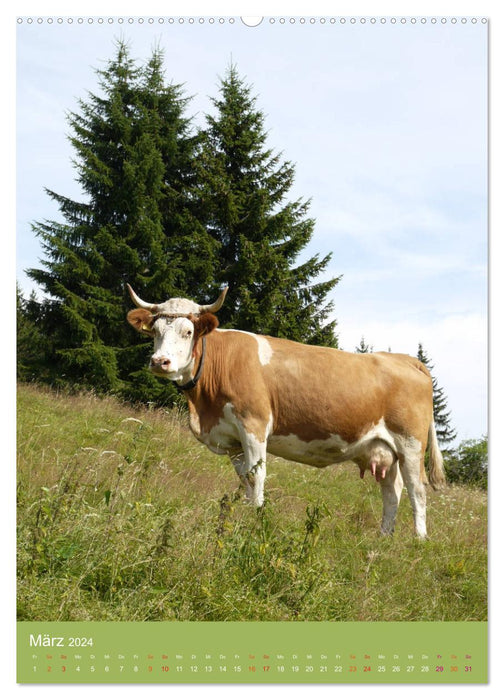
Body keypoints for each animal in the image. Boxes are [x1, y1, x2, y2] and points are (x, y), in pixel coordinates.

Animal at [126, 284, 444, 536]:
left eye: (188, 331)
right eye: (154, 332)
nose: (160, 361)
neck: (203, 409)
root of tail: (404, 358)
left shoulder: (254, 425)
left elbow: (258, 477)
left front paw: (256, 520)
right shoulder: (232, 440)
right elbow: (246, 479)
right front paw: (245, 514)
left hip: (410, 444)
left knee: (417, 490)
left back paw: (419, 540)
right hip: (385, 449)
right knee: (392, 493)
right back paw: (383, 538)